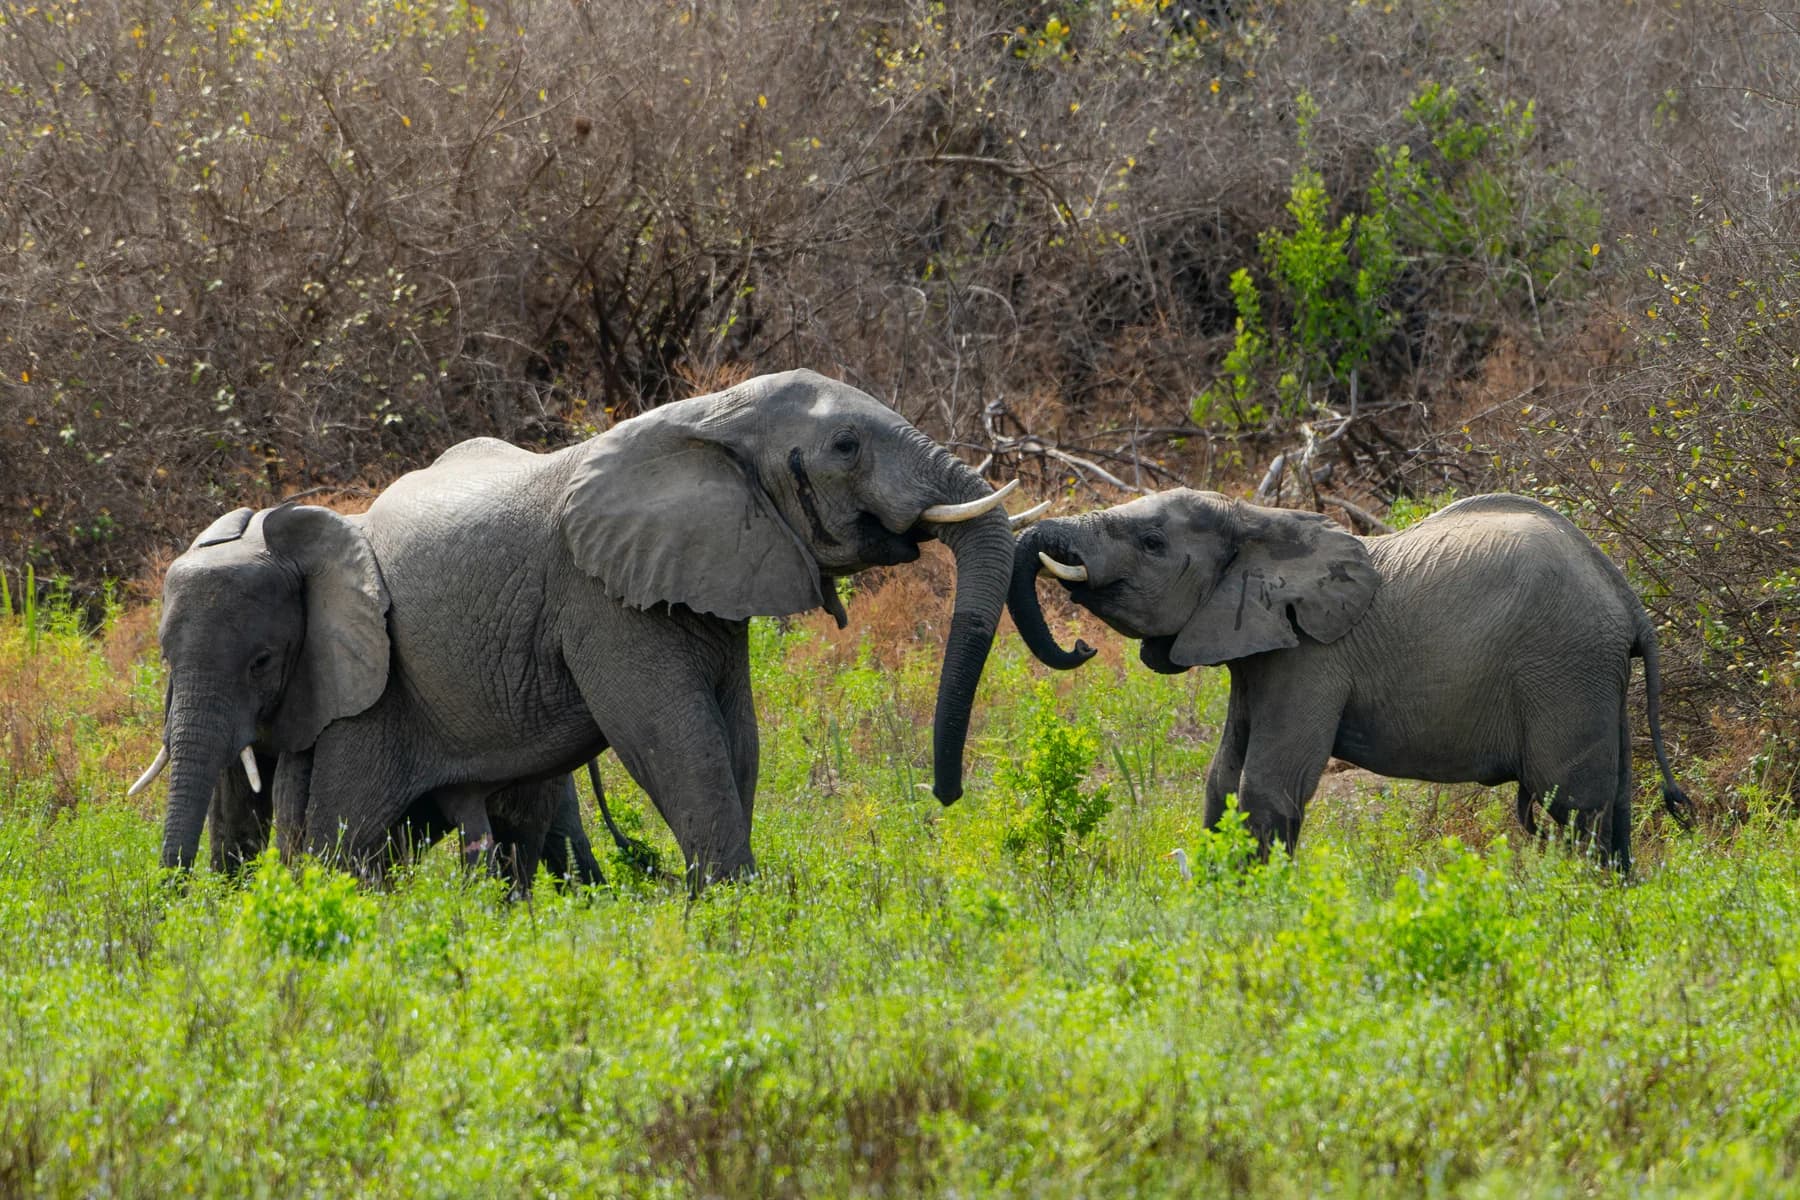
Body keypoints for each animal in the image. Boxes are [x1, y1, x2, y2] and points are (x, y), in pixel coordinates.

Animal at [245, 369, 1018, 888]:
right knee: (350, 834)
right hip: (366, 696)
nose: (944, 795)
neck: (710, 418)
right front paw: (738, 913)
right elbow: (675, 740)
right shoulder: (602, 600)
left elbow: (738, 737)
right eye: (847, 446)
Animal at [1008, 490, 1695, 869]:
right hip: (1594, 677)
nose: (1079, 645)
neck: (1259, 520)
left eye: (1152, 542)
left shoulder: (1312, 660)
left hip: (1565, 668)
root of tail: (1630, 604)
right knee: (1613, 809)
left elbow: (1266, 784)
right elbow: (1221, 781)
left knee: (1573, 806)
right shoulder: (1256, 649)